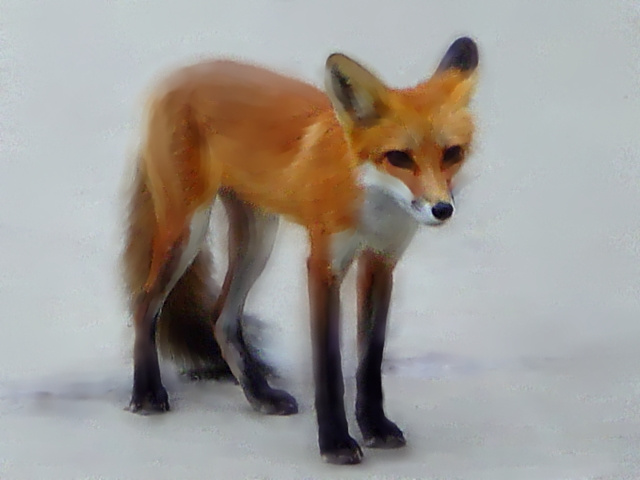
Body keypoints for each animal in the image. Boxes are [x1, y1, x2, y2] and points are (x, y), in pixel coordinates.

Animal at [121, 36, 479, 465]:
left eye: (452, 153)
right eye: (399, 158)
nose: (441, 209)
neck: (371, 203)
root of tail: (178, 74)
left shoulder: (381, 262)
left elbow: (369, 363)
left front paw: (375, 426)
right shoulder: (324, 264)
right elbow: (329, 365)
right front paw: (336, 442)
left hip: (258, 240)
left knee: (221, 316)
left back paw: (259, 395)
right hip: (187, 230)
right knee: (144, 303)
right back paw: (146, 393)